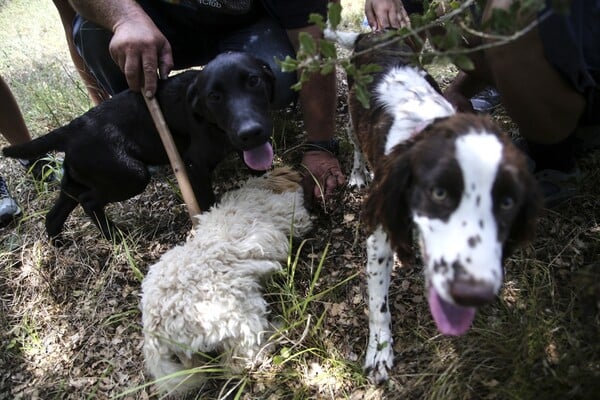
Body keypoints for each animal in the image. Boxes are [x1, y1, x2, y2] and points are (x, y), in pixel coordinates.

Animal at [4, 51, 276, 242]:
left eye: (254, 81)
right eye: (214, 97)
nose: (250, 132)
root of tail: (73, 127)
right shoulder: (195, 166)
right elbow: (208, 202)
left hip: (76, 179)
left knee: (54, 215)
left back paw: (60, 244)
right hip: (130, 175)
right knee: (88, 201)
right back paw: (116, 237)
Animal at [139, 167, 312, 396]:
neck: (255, 193)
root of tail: (155, 329)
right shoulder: (289, 218)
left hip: (191, 352)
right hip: (242, 317)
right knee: (237, 362)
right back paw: (274, 336)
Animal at [328, 29, 544, 382]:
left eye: (505, 204)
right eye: (439, 194)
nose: (471, 291)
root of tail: (371, 33)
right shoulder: (379, 238)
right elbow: (378, 306)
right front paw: (380, 351)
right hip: (353, 114)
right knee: (356, 142)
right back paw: (359, 173)